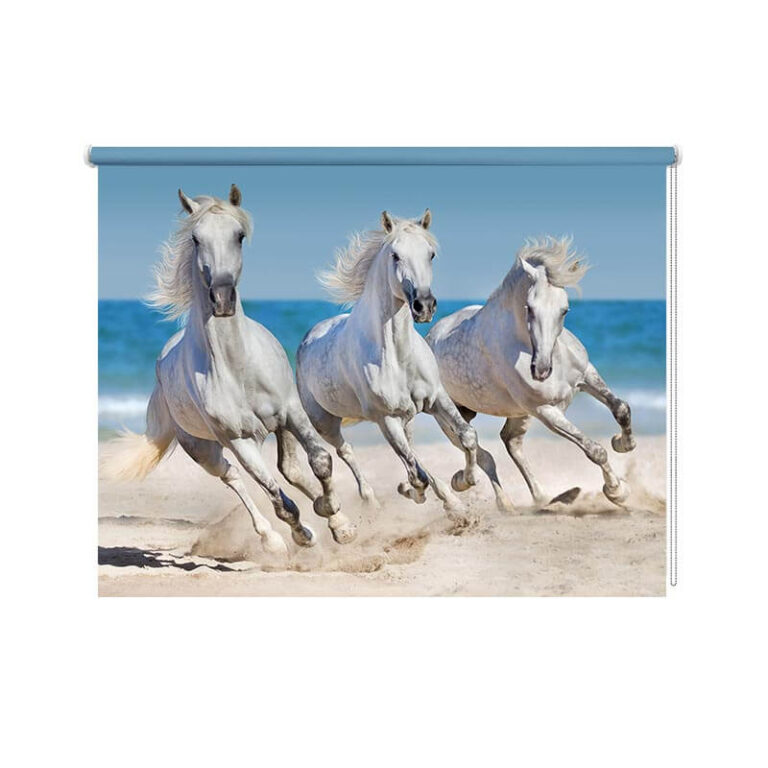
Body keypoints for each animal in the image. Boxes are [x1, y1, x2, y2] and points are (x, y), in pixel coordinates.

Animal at [101, 185, 356, 555]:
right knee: (233, 478)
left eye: (239, 236)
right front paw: (302, 534)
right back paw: (272, 539)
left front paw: (339, 523)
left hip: (277, 427)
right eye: (195, 238)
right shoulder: (238, 440)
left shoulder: (291, 412)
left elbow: (320, 460)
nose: (222, 299)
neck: (238, 368)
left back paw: (327, 513)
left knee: (290, 469)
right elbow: (278, 500)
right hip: (204, 450)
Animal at [296, 210, 479, 517]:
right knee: (347, 451)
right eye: (395, 255)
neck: (397, 355)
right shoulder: (386, 418)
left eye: (430, 254)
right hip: (326, 422)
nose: (424, 306)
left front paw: (464, 481)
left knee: (412, 451)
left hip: (405, 416)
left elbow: (466, 436)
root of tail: (308, 338)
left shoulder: (437, 398)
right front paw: (418, 492)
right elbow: (417, 474)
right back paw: (371, 499)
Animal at [426, 236, 635, 512]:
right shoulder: (544, 410)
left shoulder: (587, 375)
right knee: (481, 454)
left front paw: (623, 443)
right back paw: (483, 493)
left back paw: (543, 497)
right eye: (530, 308)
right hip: (450, 415)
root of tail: (430, 336)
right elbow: (594, 449)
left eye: (565, 310)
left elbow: (621, 408)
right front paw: (617, 491)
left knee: (511, 442)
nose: (541, 370)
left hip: (516, 413)